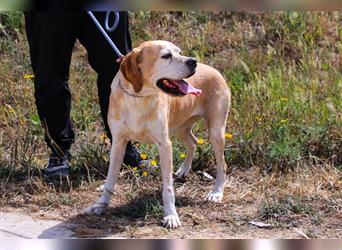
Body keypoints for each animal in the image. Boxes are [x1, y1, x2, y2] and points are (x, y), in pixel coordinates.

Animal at [83, 39, 231, 229]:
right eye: (166, 56)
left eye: (179, 52)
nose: (193, 61)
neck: (138, 97)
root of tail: (215, 70)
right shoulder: (118, 143)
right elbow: (110, 179)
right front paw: (100, 205)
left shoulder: (164, 145)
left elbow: (167, 188)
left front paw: (171, 215)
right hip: (180, 128)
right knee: (192, 142)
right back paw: (184, 169)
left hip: (215, 132)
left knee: (222, 165)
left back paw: (216, 192)